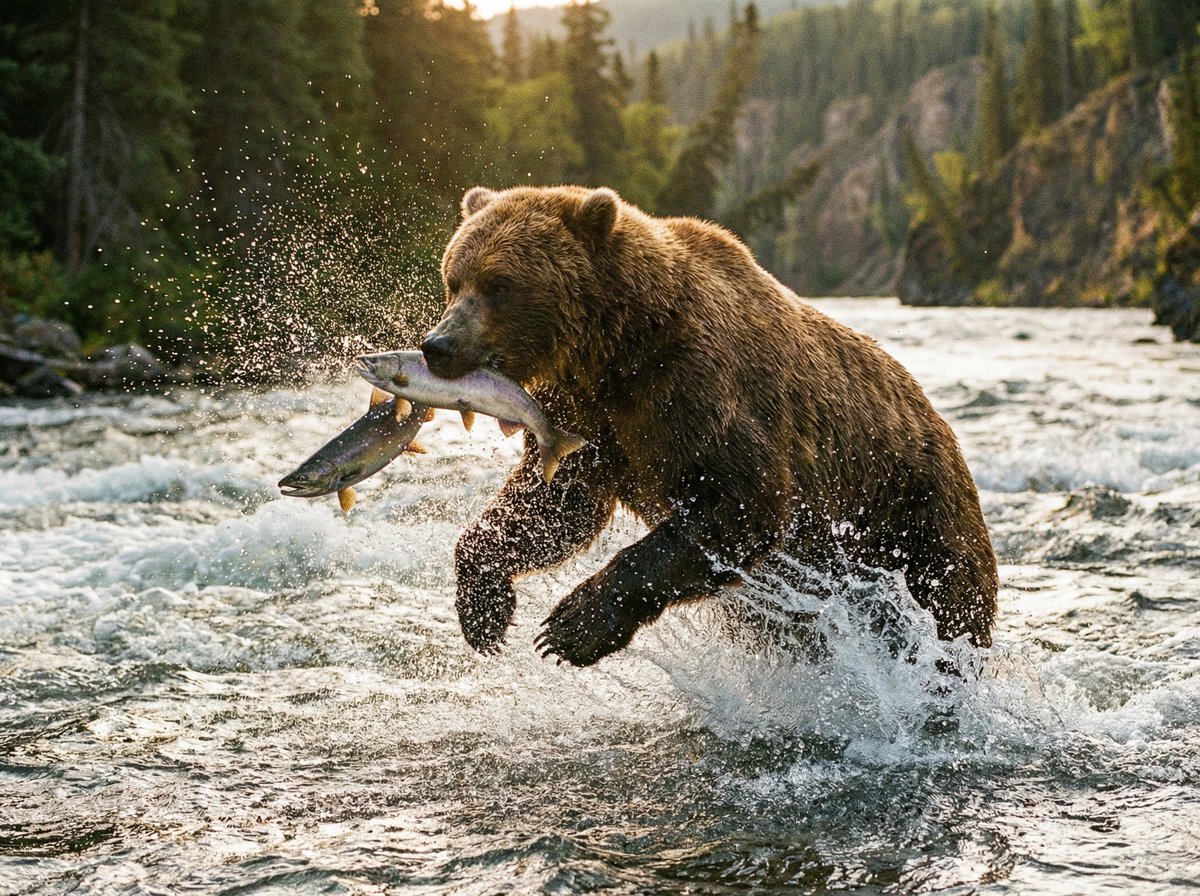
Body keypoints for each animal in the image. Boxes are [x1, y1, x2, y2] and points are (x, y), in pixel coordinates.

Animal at [419, 185, 998, 667]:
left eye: (499, 284)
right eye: (453, 279)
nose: (438, 345)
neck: (616, 353)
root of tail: (943, 427)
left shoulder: (695, 390)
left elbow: (740, 502)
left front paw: (573, 626)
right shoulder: (587, 413)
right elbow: (555, 504)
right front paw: (485, 609)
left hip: (912, 508)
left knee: (951, 602)